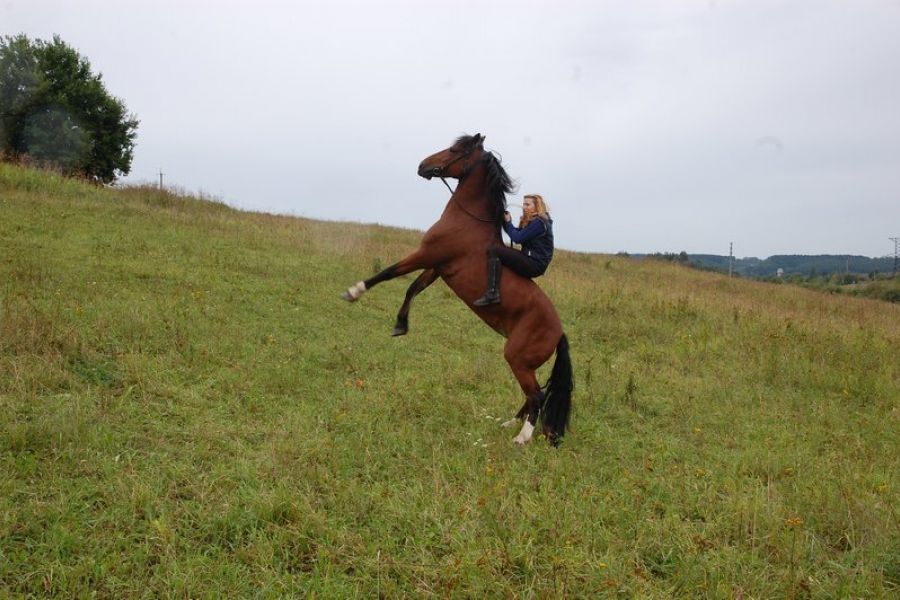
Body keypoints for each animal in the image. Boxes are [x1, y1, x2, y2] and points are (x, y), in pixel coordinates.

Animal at [342, 135, 572, 446]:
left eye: (455, 150)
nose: (423, 165)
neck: (467, 221)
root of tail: (559, 332)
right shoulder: (437, 267)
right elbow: (413, 287)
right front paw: (401, 325)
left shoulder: (426, 255)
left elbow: (388, 273)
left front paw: (354, 291)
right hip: (526, 364)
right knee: (535, 394)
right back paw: (508, 423)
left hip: (518, 358)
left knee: (537, 395)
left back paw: (521, 438)